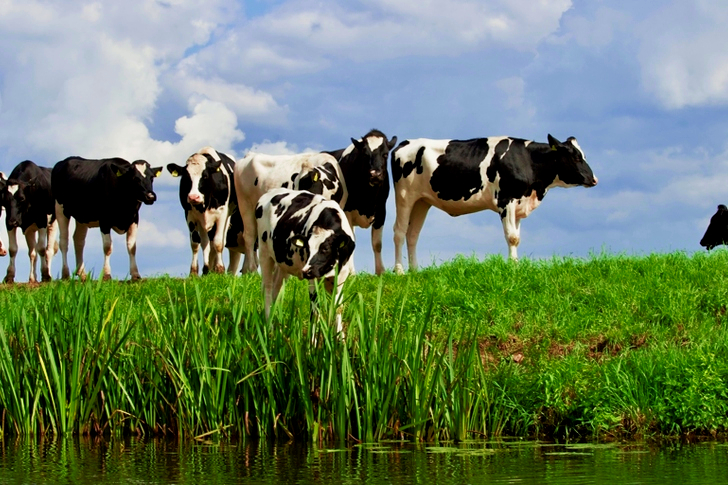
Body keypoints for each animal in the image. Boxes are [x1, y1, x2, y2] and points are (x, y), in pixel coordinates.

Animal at [167, 147, 242, 275]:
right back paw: (207, 269)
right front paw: (194, 272)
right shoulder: (190, 215)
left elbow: (218, 243)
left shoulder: (221, 214)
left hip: (227, 217)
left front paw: (220, 269)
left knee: (220, 241)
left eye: (205, 176)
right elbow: (196, 243)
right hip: (202, 222)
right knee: (206, 243)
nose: (193, 197)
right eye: (186, 178)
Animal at [256, 188, 356, 333]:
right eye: (307, 248)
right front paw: (312, 340)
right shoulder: (313, 279)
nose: (306, 271)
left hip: (284, 264)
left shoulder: (341, 278)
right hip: (264, 253)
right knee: (267, 289)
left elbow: (337, 308)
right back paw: (269, 326)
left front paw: (339, 338)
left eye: (325, 249)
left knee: (276, 290)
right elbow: (315, 311)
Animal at [325, 129, 397, 275]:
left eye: (385, 154)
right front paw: (351, 273)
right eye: (365, 154)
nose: (375, 174)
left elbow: (377, 244)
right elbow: (351, 240)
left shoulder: (381, 211)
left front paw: (380, 271)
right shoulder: (347, 211)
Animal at [390, 134, 598, 274]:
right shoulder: (506, 200)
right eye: (576, 157)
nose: (594, 179)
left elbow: (517, 237)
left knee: (412, 234)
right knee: (399, 232)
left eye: (583, 155)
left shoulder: (519, 204)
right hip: (404, 196)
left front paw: (516, 264)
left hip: (421, 201)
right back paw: (400, 271)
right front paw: (513, 267)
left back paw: (415, 271)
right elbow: (512, 237)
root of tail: (404, 143)